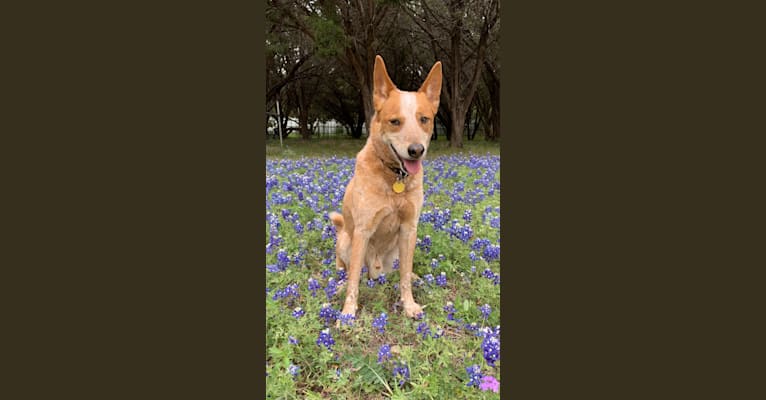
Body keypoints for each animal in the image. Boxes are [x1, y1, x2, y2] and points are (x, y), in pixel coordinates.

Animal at [328, 54, 444, 320]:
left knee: (398, 270)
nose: (416, 150)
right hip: (347, 240)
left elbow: (404, 276)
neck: (395, 177)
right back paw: (339, 285)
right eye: (395, 122)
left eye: (424, 119)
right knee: (349, 271)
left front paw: (409, 304)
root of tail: (377, 271)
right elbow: (353, 281)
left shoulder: (409, 227)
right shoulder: (362, 230)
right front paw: (348, 312)